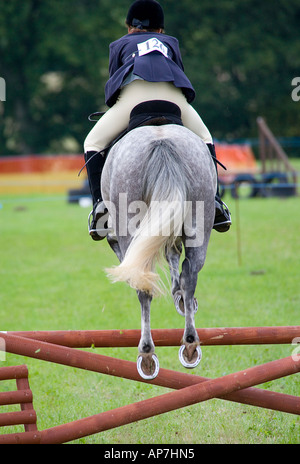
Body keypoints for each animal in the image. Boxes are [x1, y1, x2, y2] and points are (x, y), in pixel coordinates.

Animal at [100, 117, 216, 380]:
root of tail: (162, 142)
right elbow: (174, 259)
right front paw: (180, 297)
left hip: (129, 220)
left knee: (142, 287)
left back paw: (146, 354)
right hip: (199, 218)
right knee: (190, 272)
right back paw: (190, 344)